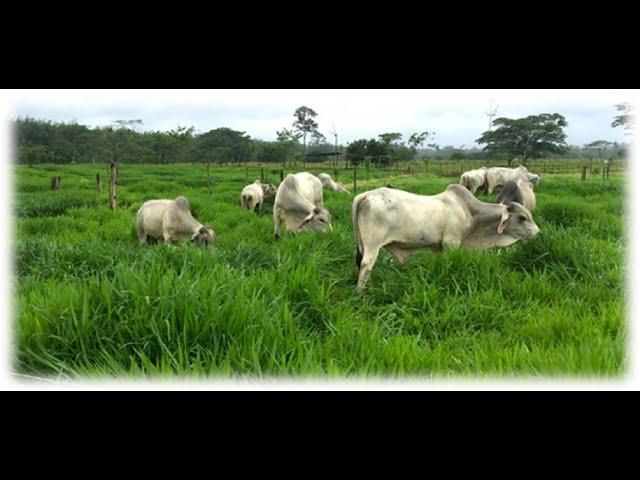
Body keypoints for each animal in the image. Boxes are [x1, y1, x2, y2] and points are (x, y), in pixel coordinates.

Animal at [350, 184, 540, 290]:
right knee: (367, 264)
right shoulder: (452, 242)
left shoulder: (437, 246)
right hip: (372, 243)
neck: (471, 213)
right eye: (522, 218)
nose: (538, 233)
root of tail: (365, 195)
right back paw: (361, 292)